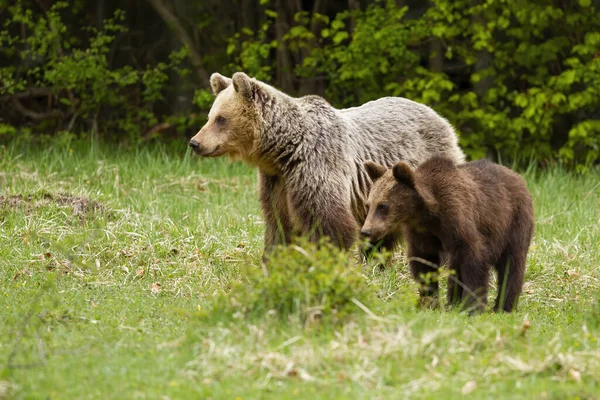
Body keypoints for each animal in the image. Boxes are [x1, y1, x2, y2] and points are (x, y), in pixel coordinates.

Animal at [188, 72, 464, 260]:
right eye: (210, 116)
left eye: (221, 119)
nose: (195, 142)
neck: (284, 151)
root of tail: (440, 117)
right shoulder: (276, 180)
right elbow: (278, 223)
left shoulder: (317, 164)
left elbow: (328, 221)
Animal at [360, 156, 536, 312]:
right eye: (368, 205)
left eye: (383, 206)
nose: (366, 231)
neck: (428, 213)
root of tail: (518, 177)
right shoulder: (422, 234)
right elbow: (423, 263)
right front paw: (428, 302)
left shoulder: (458, 221)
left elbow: (474, 260)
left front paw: (472, 307)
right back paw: (454, 301)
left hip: (514, 222)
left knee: (512, 263)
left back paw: (504, 306)